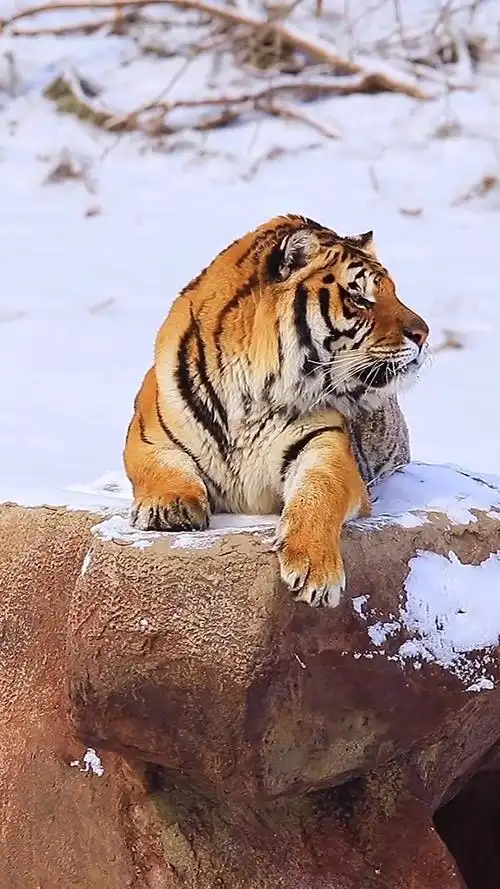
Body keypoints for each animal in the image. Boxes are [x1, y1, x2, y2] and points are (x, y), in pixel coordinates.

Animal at [123, 214, 429, 608]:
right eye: (359, 298)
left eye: (393, 291)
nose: (424, 334)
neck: (250, 391)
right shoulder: (148, 438)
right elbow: (163, 468)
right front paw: (170, 508)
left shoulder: (325, 445)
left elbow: (320, 491)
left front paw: (316, 570)